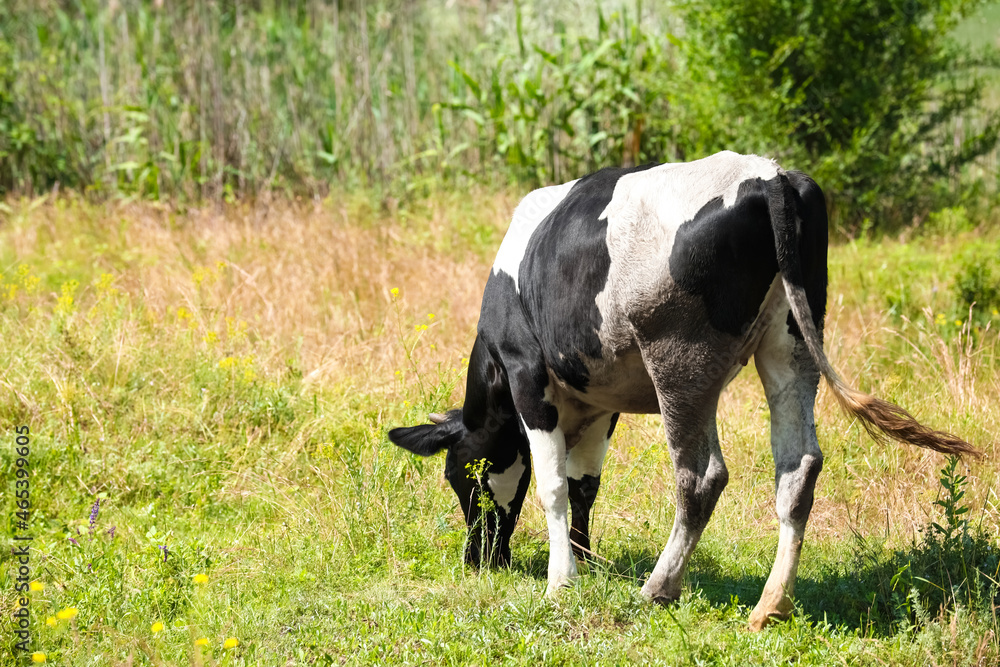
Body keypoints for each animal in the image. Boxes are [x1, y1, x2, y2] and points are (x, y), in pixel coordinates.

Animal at [386, 151, 980, 632]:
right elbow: (584, 485)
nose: (480, 559)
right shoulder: (596, 399)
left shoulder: (528, 372)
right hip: (790, 343)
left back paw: (659, 588)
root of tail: (768, 173)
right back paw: (769, 606)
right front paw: (586, 561)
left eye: (458, 476)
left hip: (678, 361)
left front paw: (562, 580)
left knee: (701, 477)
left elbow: (553, 485)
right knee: (799, 467)